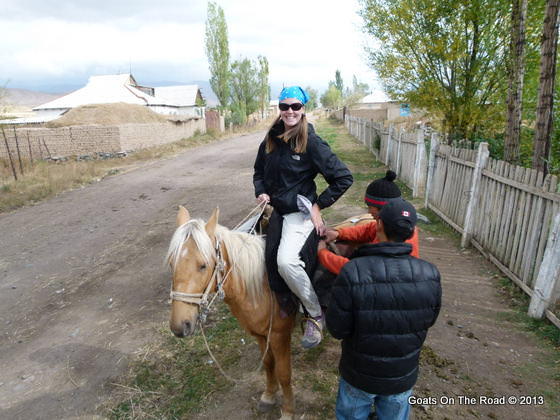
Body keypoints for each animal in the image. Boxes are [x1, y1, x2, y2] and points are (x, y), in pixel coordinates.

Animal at [166, 207, 298, 420]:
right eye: (172, 263)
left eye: (203, 265)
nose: (179, 327)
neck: (260, 285)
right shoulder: (261, 335)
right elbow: (268, 363)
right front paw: (269, 395)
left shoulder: (280, 335)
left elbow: (285, 373)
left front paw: (288, 410)